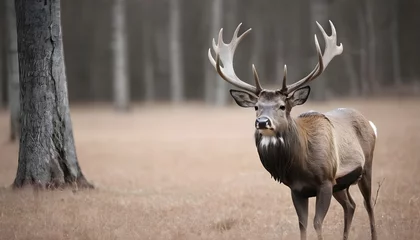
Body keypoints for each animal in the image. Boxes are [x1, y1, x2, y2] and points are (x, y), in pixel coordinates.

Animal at [208, 21, 378, 240]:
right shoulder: (296, 189)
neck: (300, 165)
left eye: (282, 106)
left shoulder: (325, 181)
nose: (262, 122)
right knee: (351, 205)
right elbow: (302, 224)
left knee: (368, 204)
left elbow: (317, 223)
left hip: (365, 167)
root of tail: (370, 123)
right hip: (341, 183)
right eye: (256, 107)